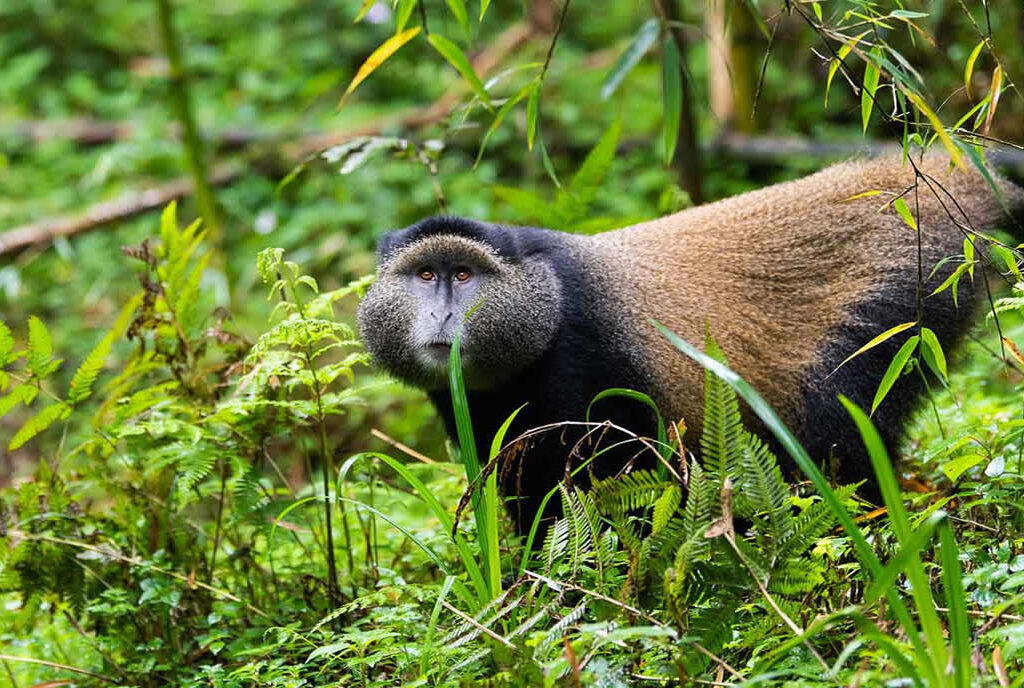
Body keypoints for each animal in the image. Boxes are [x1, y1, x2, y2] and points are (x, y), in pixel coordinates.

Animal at [357, 153, 1024, 534]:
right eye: (425, 275)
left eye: (464, 275)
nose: (444, 312)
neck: (544, 301)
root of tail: (948, 178)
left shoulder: (585, 369)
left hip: (900, 306)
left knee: (840, 430)